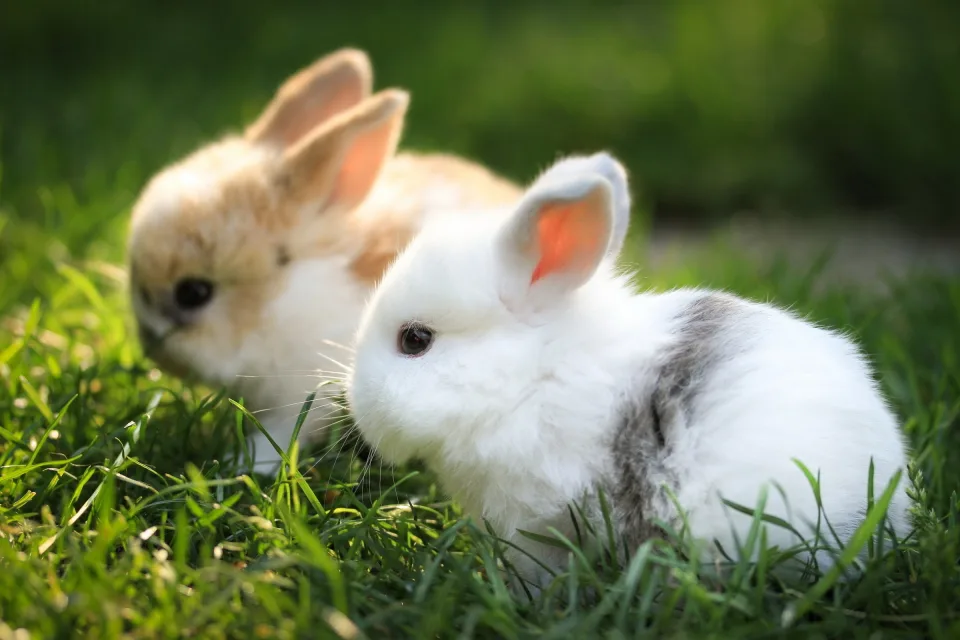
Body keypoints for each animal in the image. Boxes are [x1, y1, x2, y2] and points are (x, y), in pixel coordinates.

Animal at [127, 48, 521, 473]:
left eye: (194, 292)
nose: (154, 351)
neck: (284, 299)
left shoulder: (304, 393)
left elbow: (282, 433)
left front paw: (242, 464)